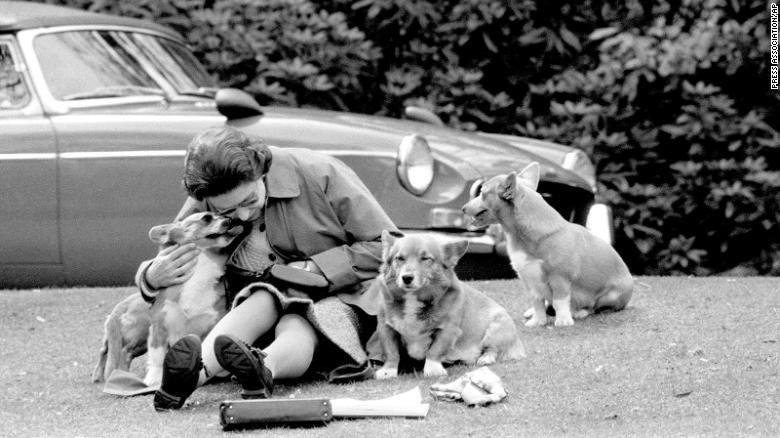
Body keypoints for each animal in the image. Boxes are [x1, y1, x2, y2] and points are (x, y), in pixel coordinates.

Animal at [90, 212, 241, 386]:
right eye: (206, 218)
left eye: (223, 215)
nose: (231, 220)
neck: (200, 270)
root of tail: (121, 306)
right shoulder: (159, 328)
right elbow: (158, 357)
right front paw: (154, 379)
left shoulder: (212, 324)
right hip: (142, 333)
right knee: (121, 352)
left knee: (110, 351)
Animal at [374, 229, 524, 380]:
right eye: (399, 258)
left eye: (425, 258)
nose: (406, 278)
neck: (414, 299)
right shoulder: (386, 328)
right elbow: (391, 352)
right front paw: (388, 370)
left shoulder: (448, 329)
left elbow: (435, 350)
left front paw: (433, 369)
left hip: (496, 329)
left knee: (493, 349)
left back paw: (485, 358)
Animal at [464, 163, 632, 326]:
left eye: (483, 193)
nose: (463, 208)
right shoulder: (531, 282)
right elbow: (538, 302)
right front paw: (538, 321)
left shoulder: (560, 279)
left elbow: (559, 302)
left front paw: (563, 320)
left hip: (611, 295)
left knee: (594, 306)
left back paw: (580, 312)